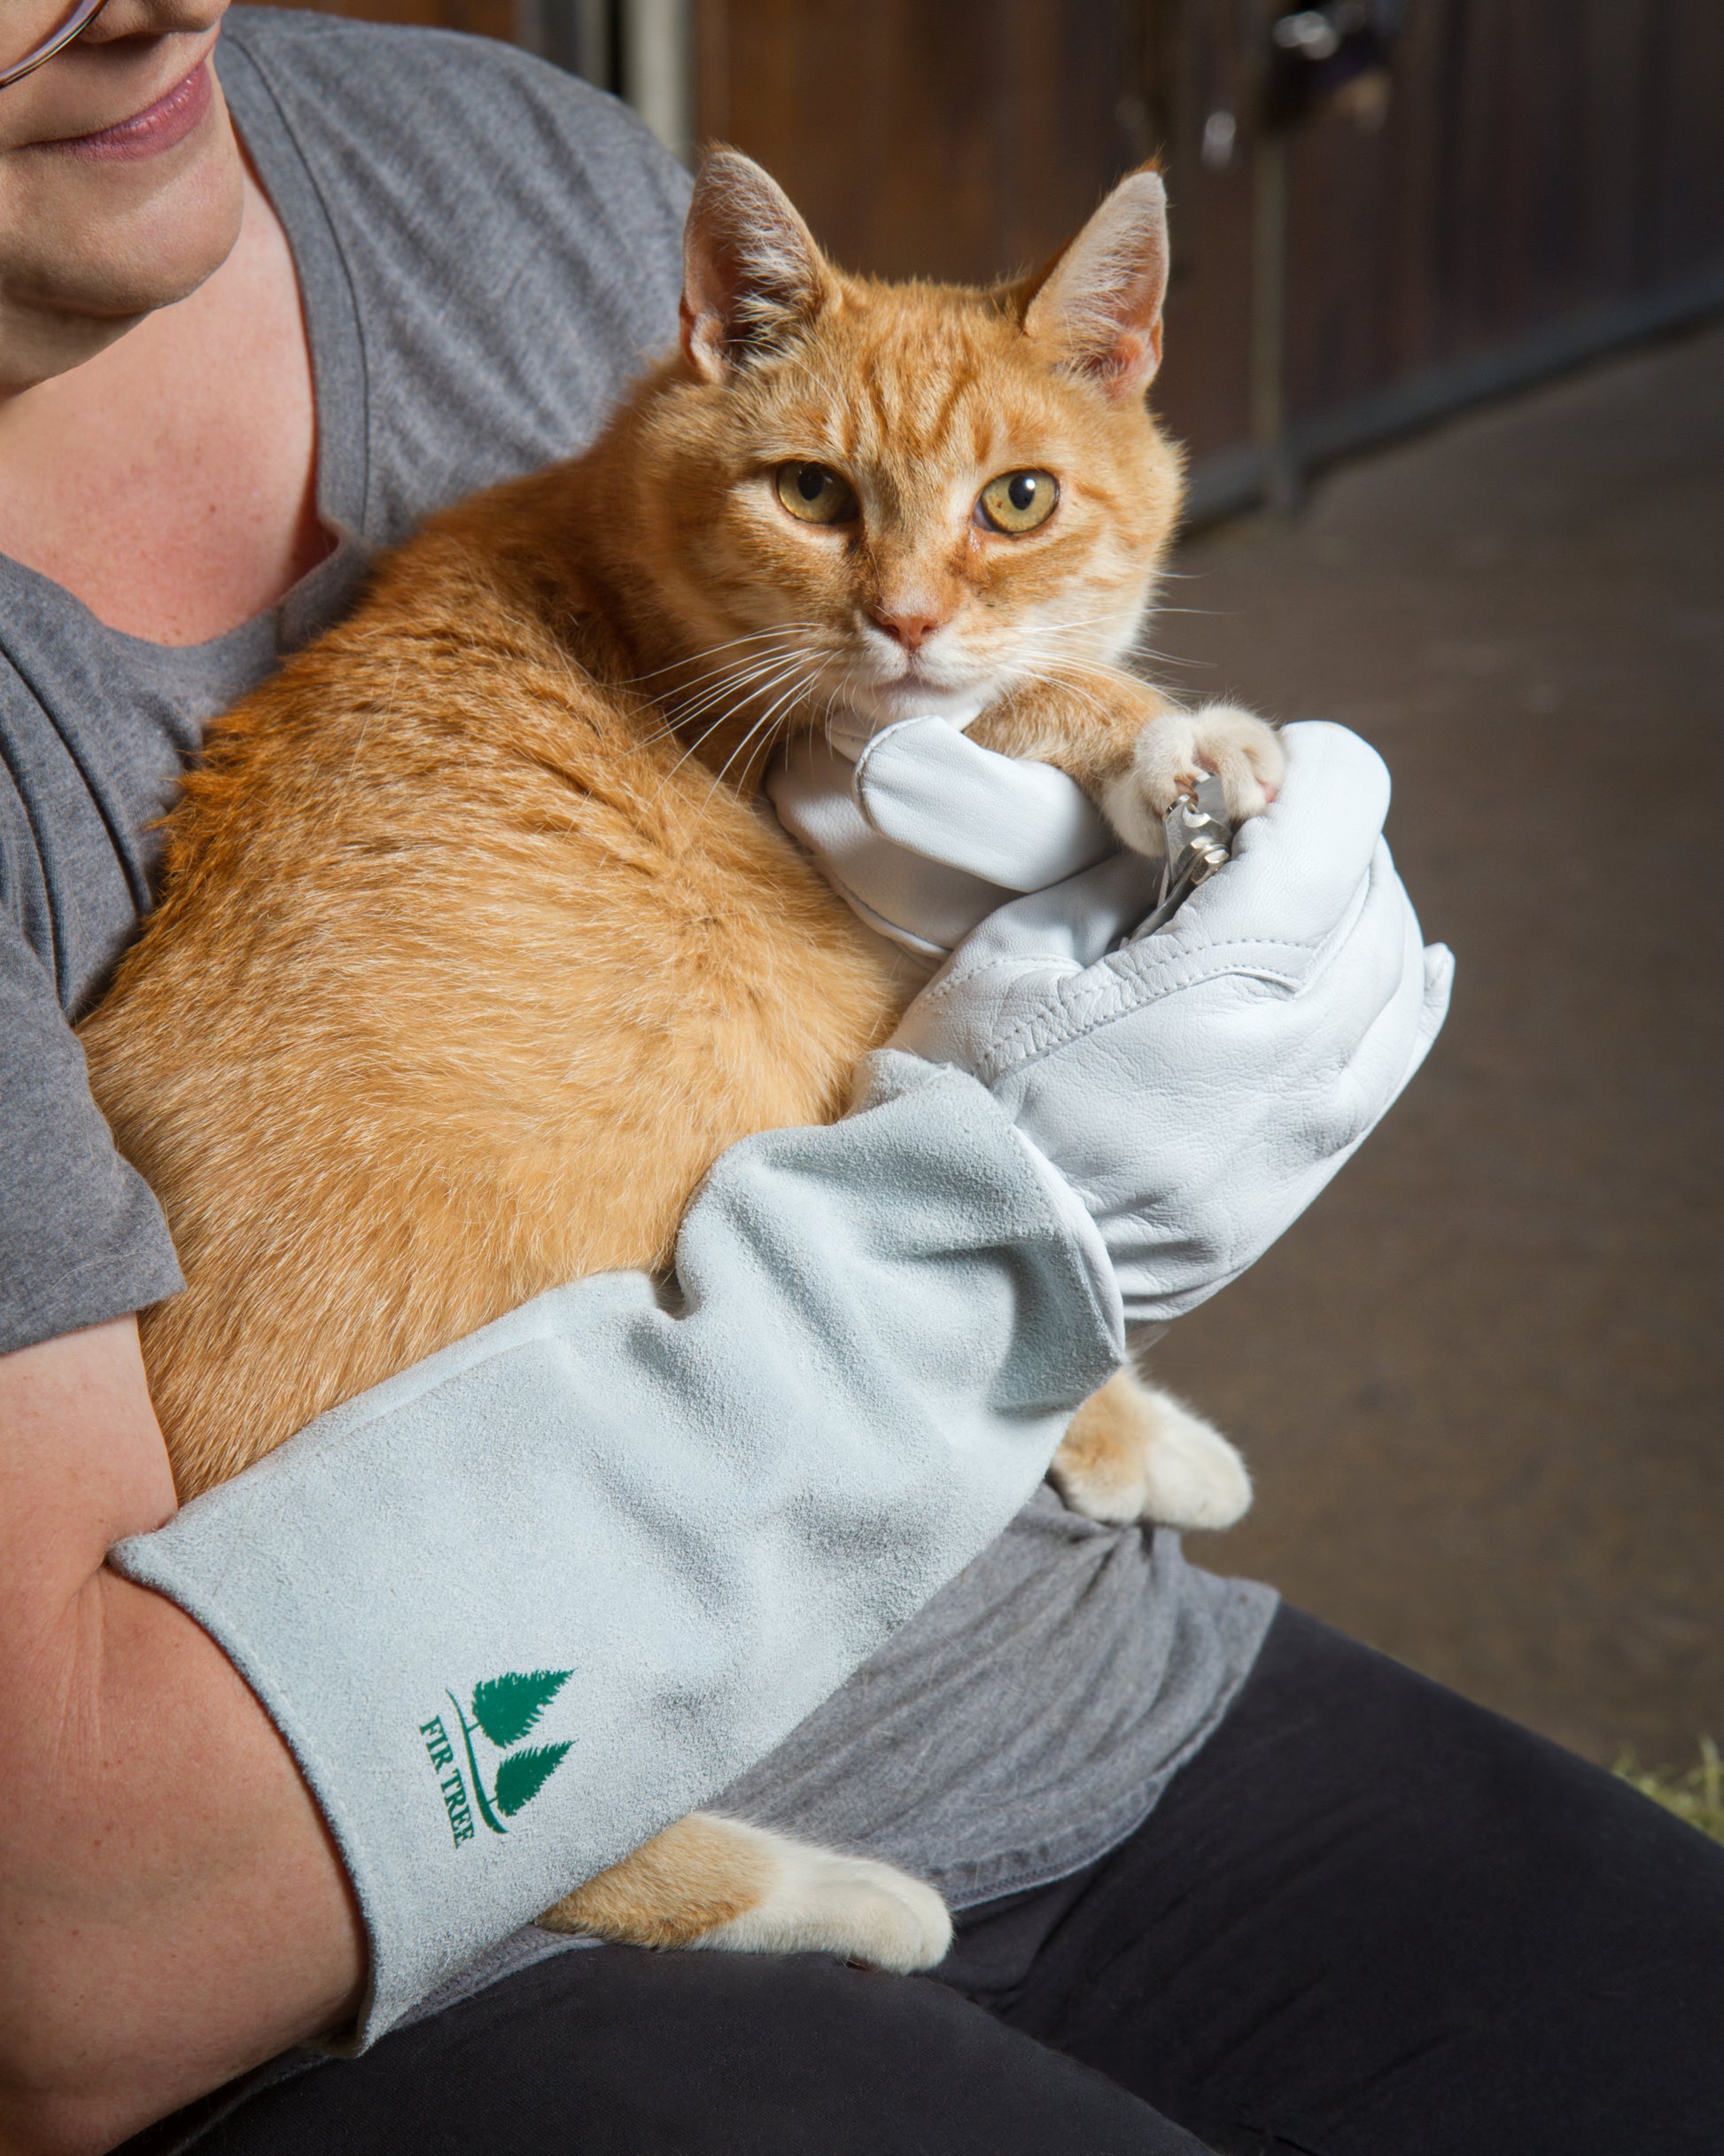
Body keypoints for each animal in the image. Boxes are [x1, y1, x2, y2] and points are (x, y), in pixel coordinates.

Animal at [77, 152, 1276, 1974]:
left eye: (1016, 501)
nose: (906, 620)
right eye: (811, 493)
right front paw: (1162, 734)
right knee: (500, 1843)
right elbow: (1028, 1231)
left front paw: (1138, 1437)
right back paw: (842, 1895)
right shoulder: (838, 785)